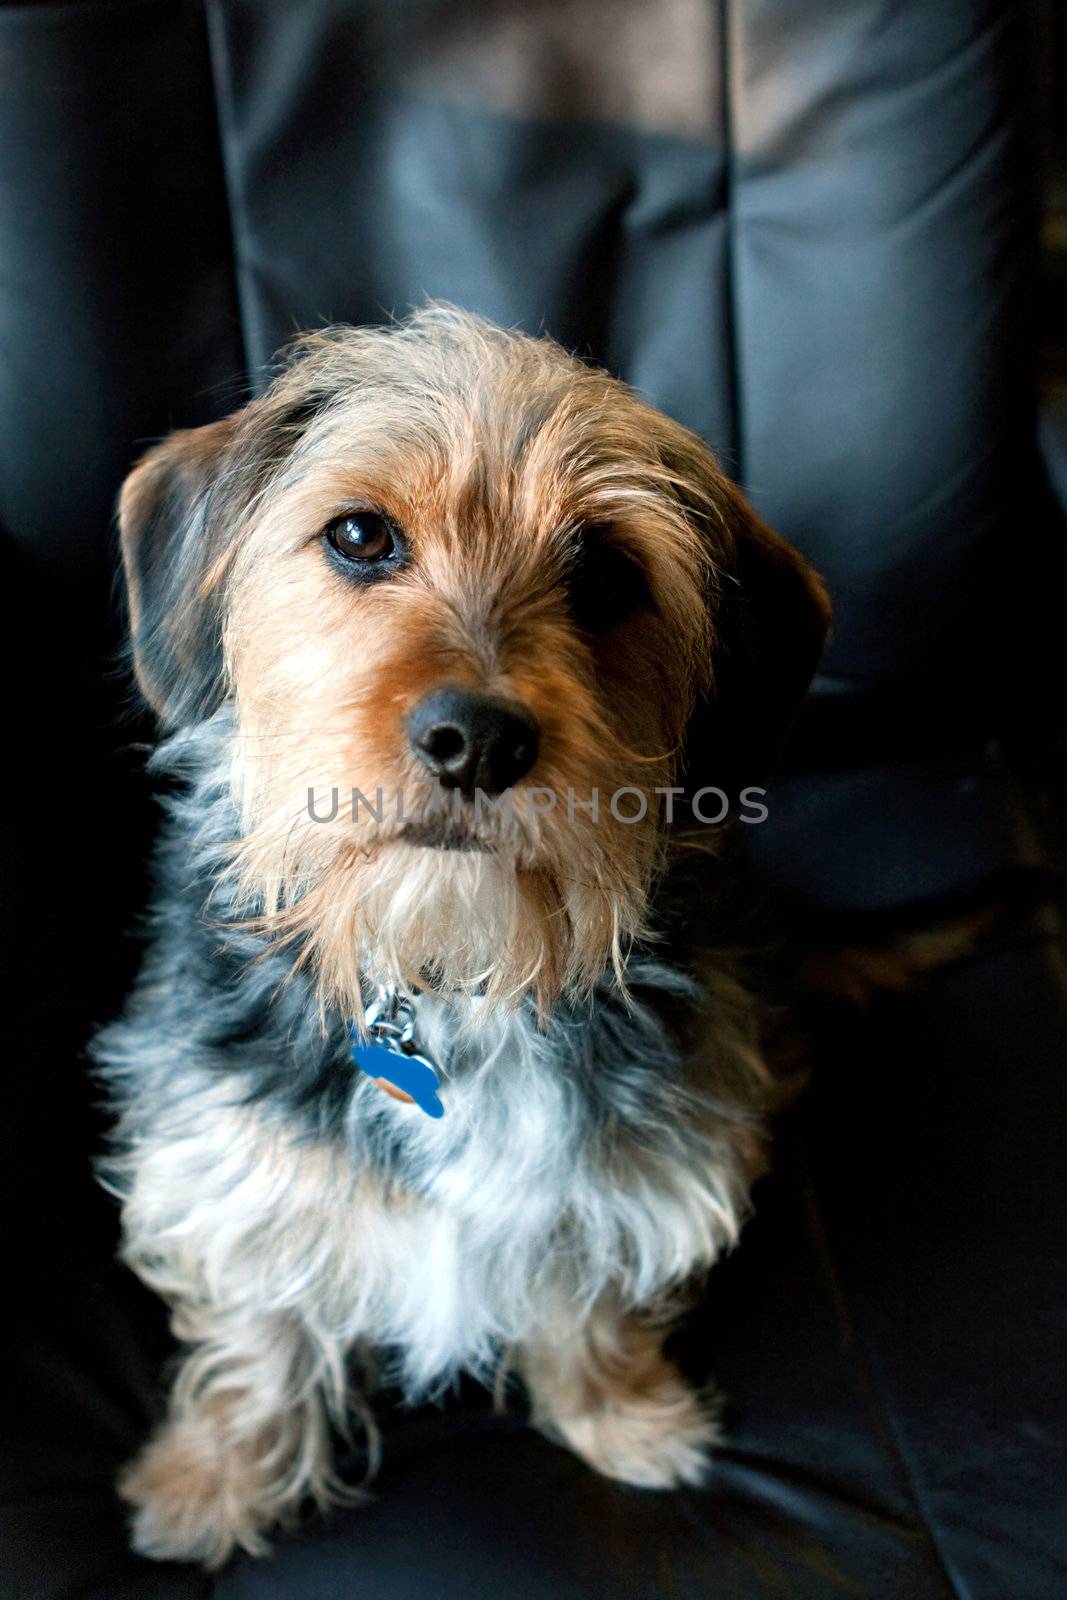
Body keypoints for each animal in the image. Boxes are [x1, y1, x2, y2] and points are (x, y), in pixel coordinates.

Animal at [95, 308, 831, 1561]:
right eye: (358, 536)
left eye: (606, 574)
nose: (475, 737)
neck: (450, 974)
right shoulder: (232, 1146)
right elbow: (257, 1316)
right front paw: (214, 1479)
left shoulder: (631, 1165)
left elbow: (586, 1290)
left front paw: (621, 1413)